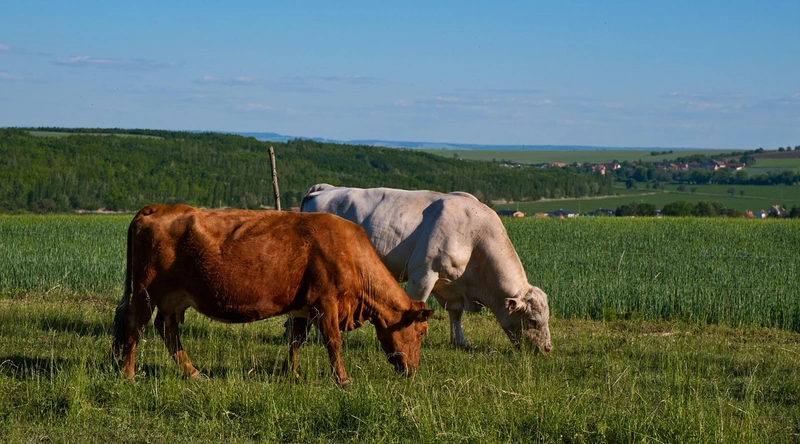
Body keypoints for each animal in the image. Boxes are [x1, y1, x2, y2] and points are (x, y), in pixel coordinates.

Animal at [112, 204, 434, 387]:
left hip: (173, 298)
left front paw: (292, 375)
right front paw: (342, 379)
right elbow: (333, 342)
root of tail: (156, 207)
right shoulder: (326, 303)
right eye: (420, 332)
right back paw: (128, 374)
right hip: (146, 290)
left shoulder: (303, 307)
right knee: (135, 325)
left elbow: (295, 341)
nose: (413, 372)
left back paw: (190, 372)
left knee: (165, 329)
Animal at [301, 184, 551, 353]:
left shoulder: (452, 285)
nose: (548, 349)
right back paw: (322, 338)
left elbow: (455, 313)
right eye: (532, 321)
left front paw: (459, 341)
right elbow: (415, 305)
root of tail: (324, 188)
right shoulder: (423, 273)